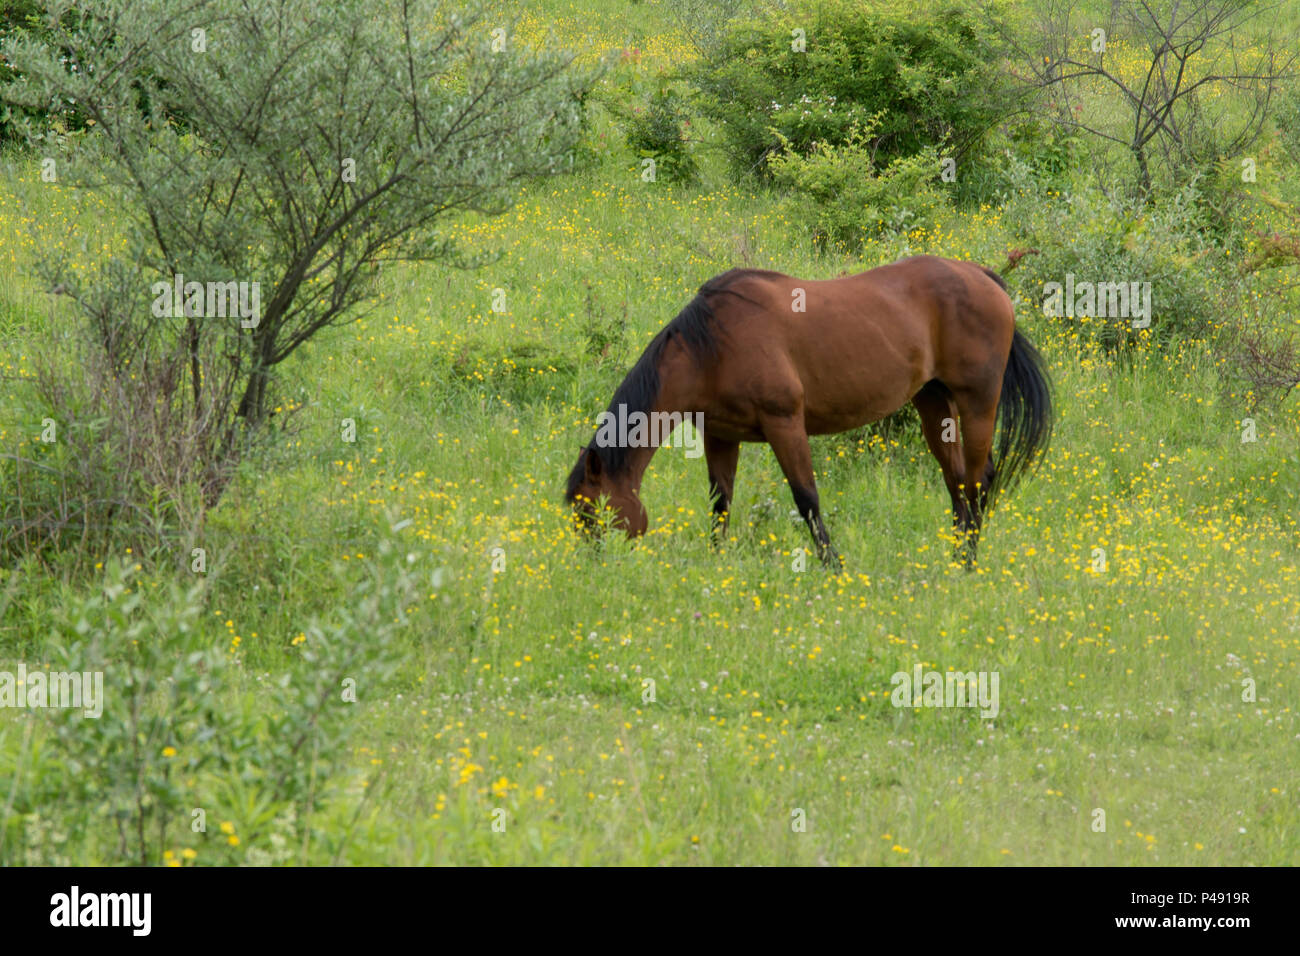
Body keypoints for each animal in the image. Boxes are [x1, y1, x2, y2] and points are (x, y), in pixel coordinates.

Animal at [564, 254, 1050, 567]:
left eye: (590, 513)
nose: (597, 566)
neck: (711, 347)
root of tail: (984, 277)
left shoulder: (785, 424)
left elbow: (807, 499)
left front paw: (833, 566)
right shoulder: (720, 435)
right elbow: (720, 502)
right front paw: (716, 562)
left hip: (977, 401)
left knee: (978, 480)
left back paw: (968, 562)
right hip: (933, 402)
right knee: (957, 481)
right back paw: (955, 556)